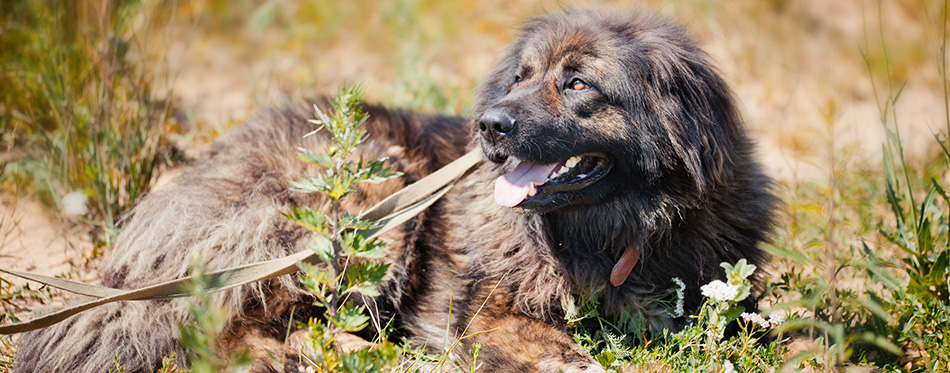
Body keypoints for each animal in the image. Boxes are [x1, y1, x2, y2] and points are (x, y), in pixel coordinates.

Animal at [13, 8, 772, 372]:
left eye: (578, 83)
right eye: (521, 76)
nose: (490, 125)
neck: (613, 233)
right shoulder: (491, 312)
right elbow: (553, 349)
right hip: (366, 208)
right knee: (217, 328)